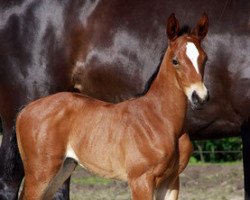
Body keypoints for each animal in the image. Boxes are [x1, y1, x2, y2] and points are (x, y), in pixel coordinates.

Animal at [0, 0, 250, 200]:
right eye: (175, 61)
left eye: (204, 59)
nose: (200, 96)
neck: (161, 119)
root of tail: (24, 111)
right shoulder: (141, 180)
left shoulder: (171, 181)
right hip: (40, 172)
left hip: (61, 170)